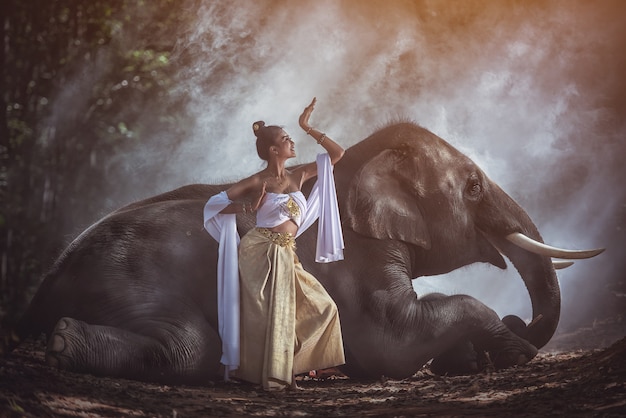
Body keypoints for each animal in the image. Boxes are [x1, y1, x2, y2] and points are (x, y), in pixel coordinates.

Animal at [14, 121, 600, 386]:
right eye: (474, 187)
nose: (520, 320)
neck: (365, 152)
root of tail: (40, 295)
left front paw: (472, 358)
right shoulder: (356, 254)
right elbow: (390, 342)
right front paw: (511, 349)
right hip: (129, 272)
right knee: (189, 346)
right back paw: (62, 342)